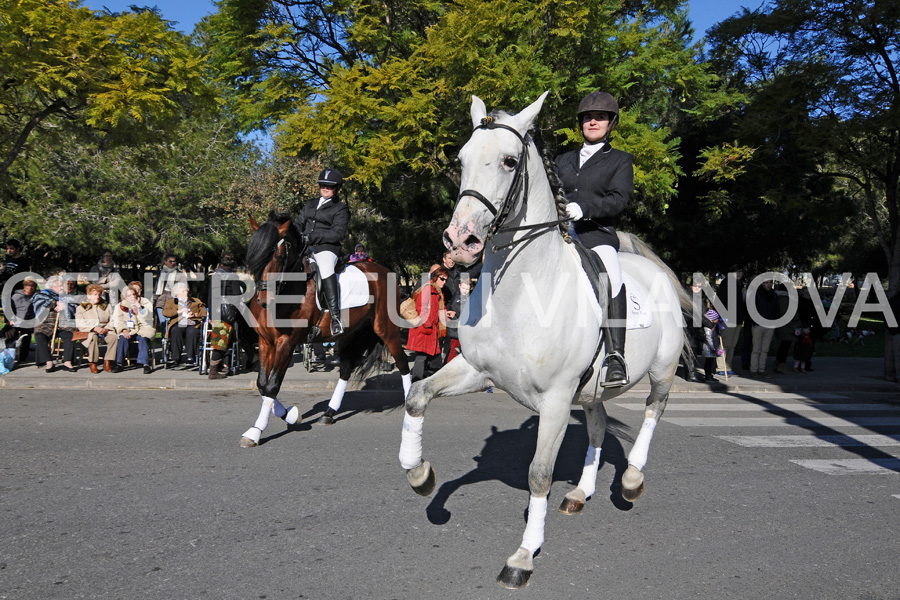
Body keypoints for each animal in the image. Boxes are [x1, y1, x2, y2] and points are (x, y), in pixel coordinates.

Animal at [237, 213, 410, 448]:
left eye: (279, 256)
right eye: (254, 255)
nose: (264, 300)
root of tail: (387, 272)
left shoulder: (286, 342)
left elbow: (272, 385)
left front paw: (256, 432)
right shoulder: (265, 341)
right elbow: (262, 384)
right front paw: (291, 415)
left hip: (386, 329)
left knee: (402, 362)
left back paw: (412, 403)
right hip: (349, 333)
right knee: (346, 368)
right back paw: (329, 413)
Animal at [398, 91, 692, 588]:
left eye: (508, 160)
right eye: (461, 159)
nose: (460, 241)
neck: (518, 294)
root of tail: (653, 268)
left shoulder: (555, 399)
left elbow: (539, 474)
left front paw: (523, 556)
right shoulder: (476, 371)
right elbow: (418, 394)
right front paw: (420, 475)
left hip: (662, 370)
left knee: (654, 412)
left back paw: (631, 480)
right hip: (591, 390)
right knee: (597, 424)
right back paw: (581, 492)